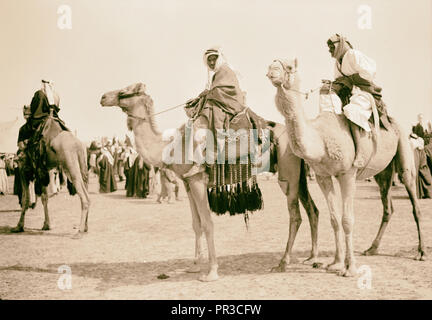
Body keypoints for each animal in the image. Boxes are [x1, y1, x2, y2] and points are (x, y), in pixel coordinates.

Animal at [99, 83, 318, 282]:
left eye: (124, 92)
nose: (103, 97)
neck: (171, 146)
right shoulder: (187, 182)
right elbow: (196, 224)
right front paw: (194, 266)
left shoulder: (197, 179)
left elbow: (208, 223)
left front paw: (211, 272)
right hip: (298, 174)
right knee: (312, 209)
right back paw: (311, 258)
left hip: (288, 173)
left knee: (295, 215)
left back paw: (283, 263)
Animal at [266, 58, 426, 276]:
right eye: (271, 64)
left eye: (289, 67)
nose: (272, 71)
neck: (321, 139)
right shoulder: (323, 176)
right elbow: (334, 219)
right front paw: (336, 262)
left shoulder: (347, 174)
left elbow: (347, 220)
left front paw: (350, 268)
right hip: (383, 173)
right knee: (388, 207)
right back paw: (371, 248)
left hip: (404, 152)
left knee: (413, 200)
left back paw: (421, 252)